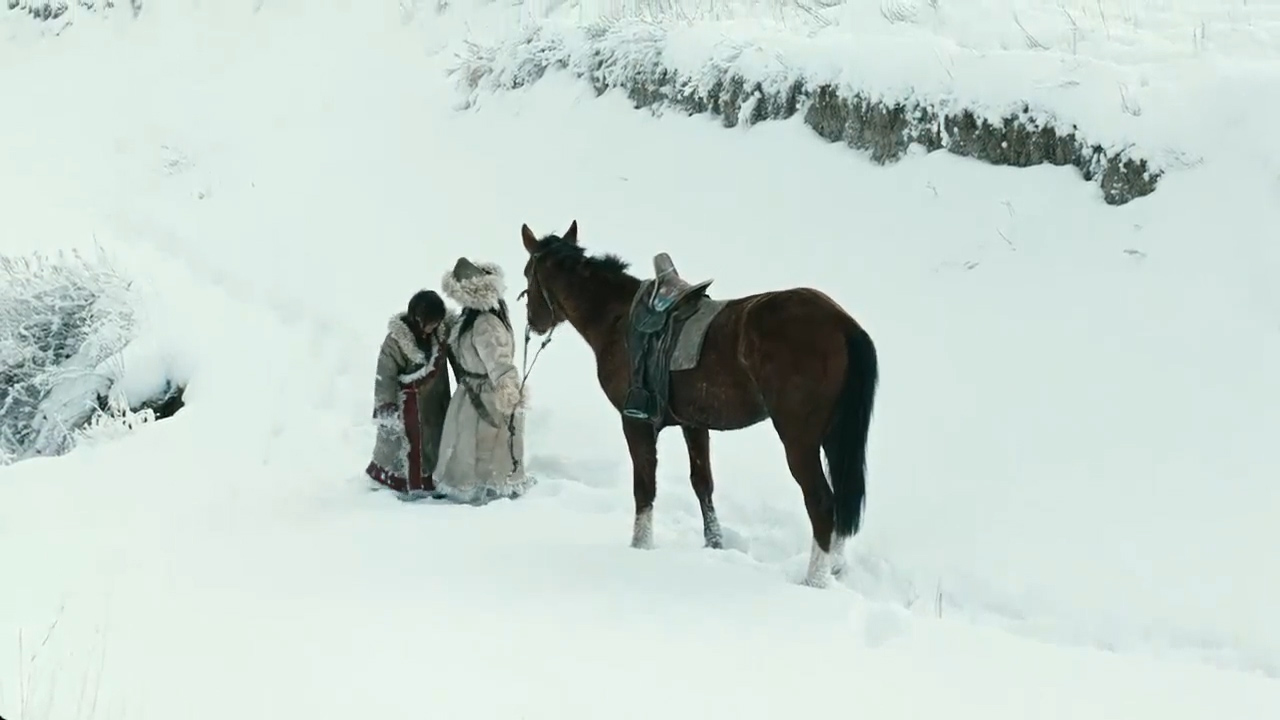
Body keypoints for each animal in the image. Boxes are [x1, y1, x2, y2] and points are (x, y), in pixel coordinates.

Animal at [519, 220, 880, 589]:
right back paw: (834, 567)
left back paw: (815, 581)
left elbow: (644, 488)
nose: (534, 321)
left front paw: (640, 547)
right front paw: (714, 543)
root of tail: (843, 324)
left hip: (799, 439)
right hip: (835, 434)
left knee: (821, 502)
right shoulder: (693, 424)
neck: (616, 319)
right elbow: (702, 483)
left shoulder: (635, 421)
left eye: (527, 274)